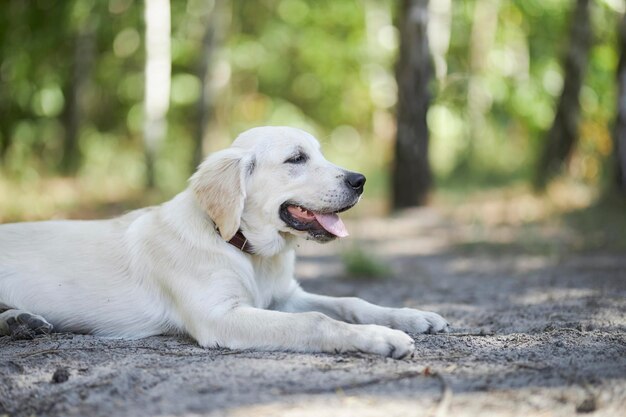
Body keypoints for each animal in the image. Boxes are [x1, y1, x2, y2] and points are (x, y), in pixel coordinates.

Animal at [0, 126, 448, 358]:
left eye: (319, 154)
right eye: (296, 159)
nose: (360, 181)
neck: (242, 248)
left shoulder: (282, 296)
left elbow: (349, 302)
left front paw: (411, 317)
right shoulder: (218, 316)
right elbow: (317, 320)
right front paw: (384, 337)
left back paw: (20, 322)